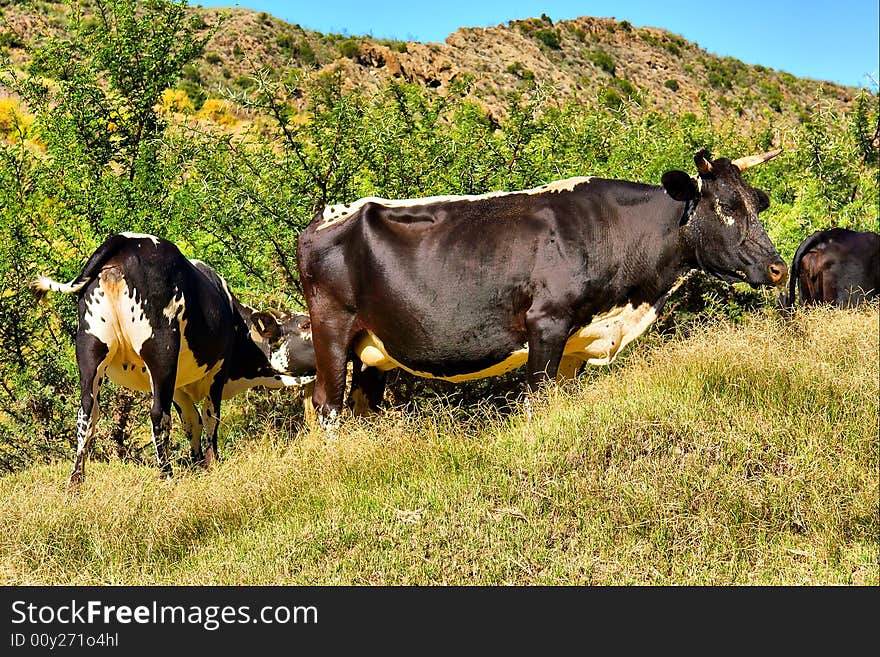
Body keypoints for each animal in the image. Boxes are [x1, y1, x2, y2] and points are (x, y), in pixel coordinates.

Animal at [33, 232, 316, 486]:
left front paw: (197, 464)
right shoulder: (216, 372)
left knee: (87, 413)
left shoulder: (179, 385)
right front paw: (211, 463)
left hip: (90, 349)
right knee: (158, 413)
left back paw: (76, 482)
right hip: (161, 349)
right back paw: (166, 474)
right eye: (305, 324)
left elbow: (192, 422)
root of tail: (123, 241)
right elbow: (210, 417)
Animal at [298, 148, 792, 426]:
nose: (777, 268)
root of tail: (325, 216)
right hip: (331, 328)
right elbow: (539, 399)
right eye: (726, 206)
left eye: (758, 203)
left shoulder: (576, 342)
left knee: (360, 404)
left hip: (371, 350)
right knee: (326, 404)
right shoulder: (546, 324)